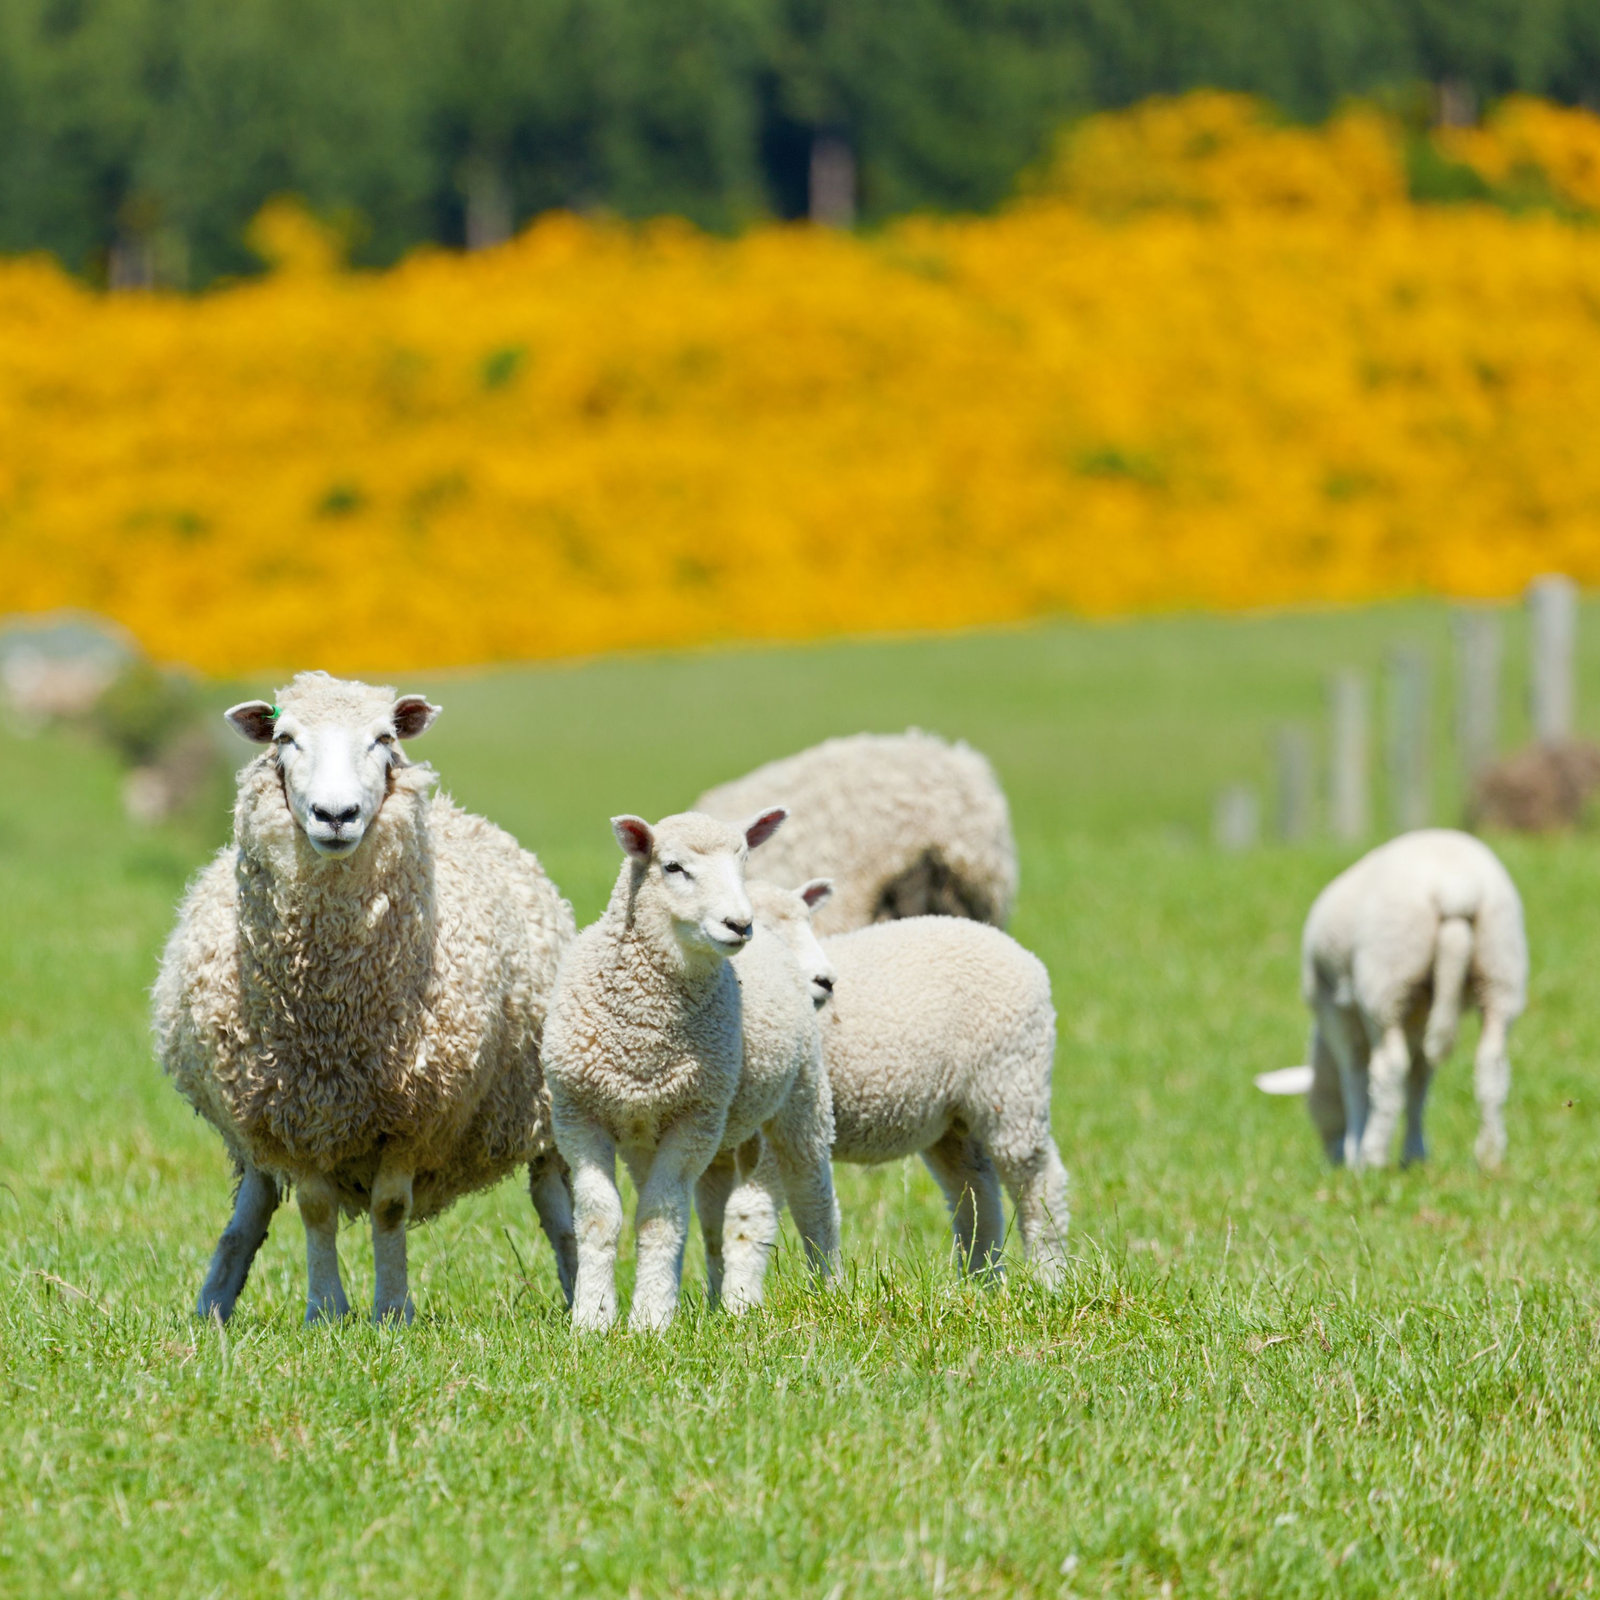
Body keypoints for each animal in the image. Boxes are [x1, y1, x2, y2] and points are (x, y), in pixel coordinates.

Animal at [154, 671, 578, 1324]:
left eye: (383, 738)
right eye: (284, 738)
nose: (336, 814)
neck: (334, 1010)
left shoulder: (412, 1114)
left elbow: (389, 1210)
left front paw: (393, 1310)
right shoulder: (296, 1113)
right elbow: (315, 1210)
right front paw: (326, 1311)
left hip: (540, 1107)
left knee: (557, 1208)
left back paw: (585, 1297)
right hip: (252, 1123)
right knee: (251, 1209)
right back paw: (212, 1308)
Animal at [543, 809, 839, 1333]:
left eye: (743, 861)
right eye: (673, 867)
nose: (739, 924)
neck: (644, 1033)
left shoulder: (694, 1119)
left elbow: (661, 1218)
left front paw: (650, 1319)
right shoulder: (577, 1114)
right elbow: (600, 1218)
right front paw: (592, 1318)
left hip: (797, 1101)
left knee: (812, 1199)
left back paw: (827, 1289)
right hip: (673, 1137)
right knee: (714, 1217)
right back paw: (722, 1299)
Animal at [747, 880, 1070, 1285]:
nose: (825, 981)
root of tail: (1020, 952)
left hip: (1012, 1083)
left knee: (1039, 1182)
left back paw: (1049, 1275)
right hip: (953, 1118)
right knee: (975, 1188)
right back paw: (980, 1279)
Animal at [1284, 828, 1528, 1171]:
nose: (1332, 1158)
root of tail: (1456, 887)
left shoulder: (1335, 1010)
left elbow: (1356, 1077)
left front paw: (1356, 1149)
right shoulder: (1420, 1018)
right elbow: (1419, 1082)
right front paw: (1415, 1153)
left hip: (1387, 977)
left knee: (1388, 1069)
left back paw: (1372, 1155)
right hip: (1500, 968)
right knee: (1491, 1063)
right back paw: (1490, 1154)